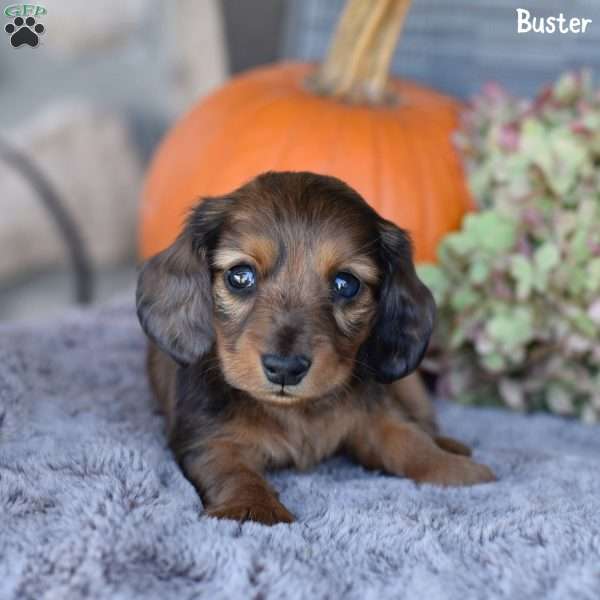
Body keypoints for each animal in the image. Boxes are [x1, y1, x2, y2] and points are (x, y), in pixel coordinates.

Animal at [138, 170, 494, 524]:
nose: (285, 369)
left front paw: (459, 472)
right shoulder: (210, 438)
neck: (296, 411)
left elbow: (410, 441)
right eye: (240, 276)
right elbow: (232, 471)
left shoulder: (374, 418)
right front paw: (253, 507)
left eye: (346, 284)